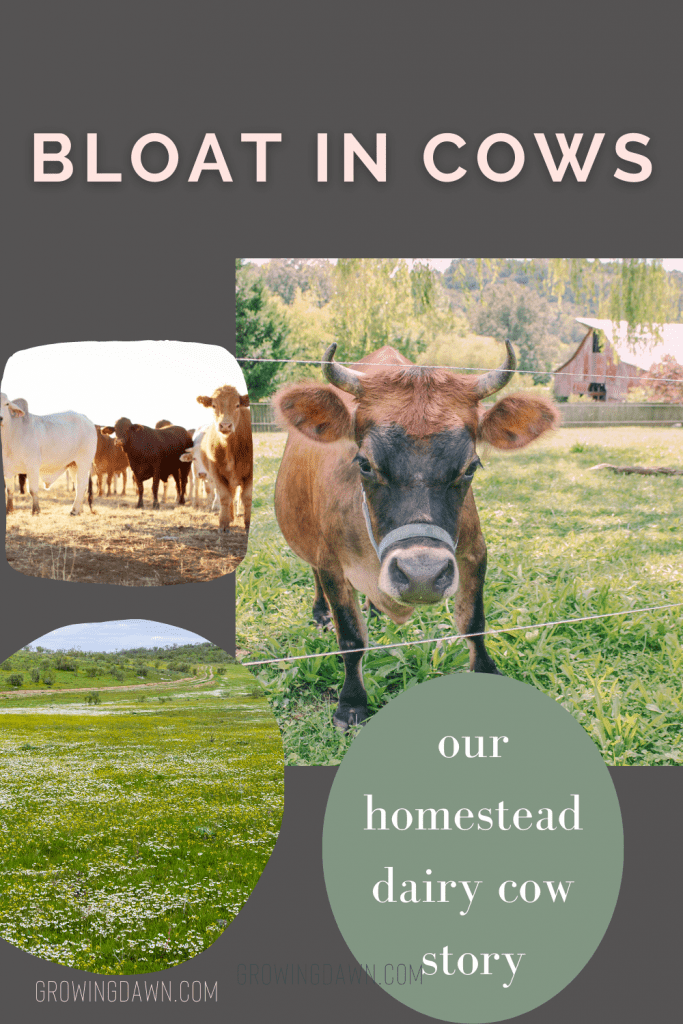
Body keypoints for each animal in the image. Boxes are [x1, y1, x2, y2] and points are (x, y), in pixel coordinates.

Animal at [195, 386, 253, 531]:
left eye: (237, 405)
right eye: (214, 405)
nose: (225, 425)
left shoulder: (249, 475)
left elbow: (247, 498)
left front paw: (248, 523)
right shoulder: (217, 474)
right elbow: (225, 497)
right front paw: (223, 523)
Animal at [273, 342, 559, 730]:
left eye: (470, 467)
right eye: (364, 463)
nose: (421, 575)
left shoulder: (474, 551)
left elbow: (474, 622)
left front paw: (488, 672)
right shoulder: (331, 563)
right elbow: (350, 638)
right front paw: (352, 702)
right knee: (314, 574)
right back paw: (321, 613)